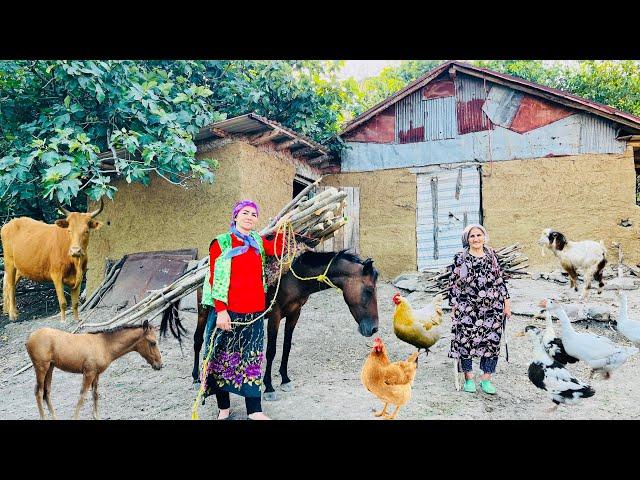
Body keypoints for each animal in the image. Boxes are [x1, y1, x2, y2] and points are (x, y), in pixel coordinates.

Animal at [182, 251, 378, 402]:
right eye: (369, 290)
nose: (374, 328)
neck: (293, 276)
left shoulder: (294, 313)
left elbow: (286, 347)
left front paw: (285, 379)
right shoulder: (275, 315)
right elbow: (271, 350)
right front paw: (268, 387)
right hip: (204, 311)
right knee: (198, 340)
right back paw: (196, 377)